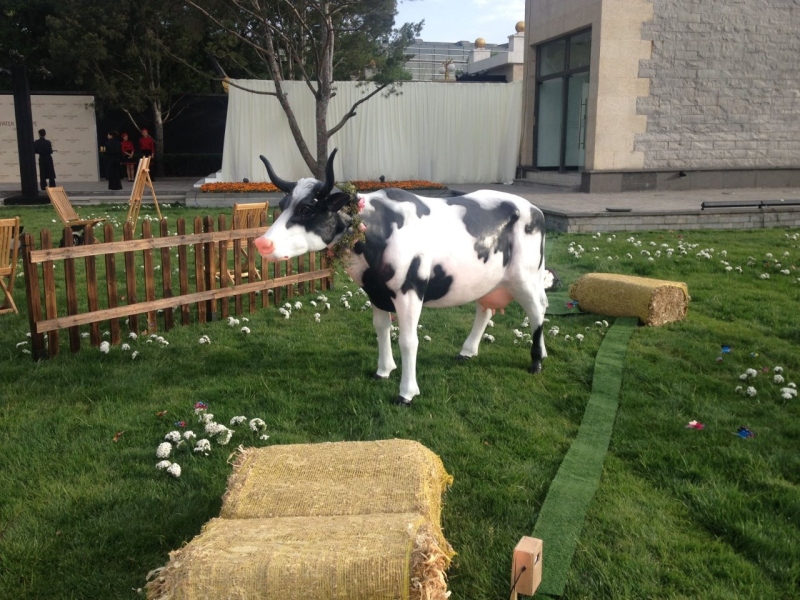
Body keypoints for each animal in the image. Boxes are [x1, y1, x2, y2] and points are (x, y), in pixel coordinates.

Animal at [254, 150, 548, 406]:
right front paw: (383, 371)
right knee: (485, 309)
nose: (262, 243)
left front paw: (406, 393)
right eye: (283, 205)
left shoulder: (409, 292)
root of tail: (534, 208)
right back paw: (468, 351)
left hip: (525, 276)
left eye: (306, 209)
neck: (377, 230)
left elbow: (408, 341)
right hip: (489, 279)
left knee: (537, 311)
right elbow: (382, 329)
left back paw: (536, 362)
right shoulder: (375, 291)